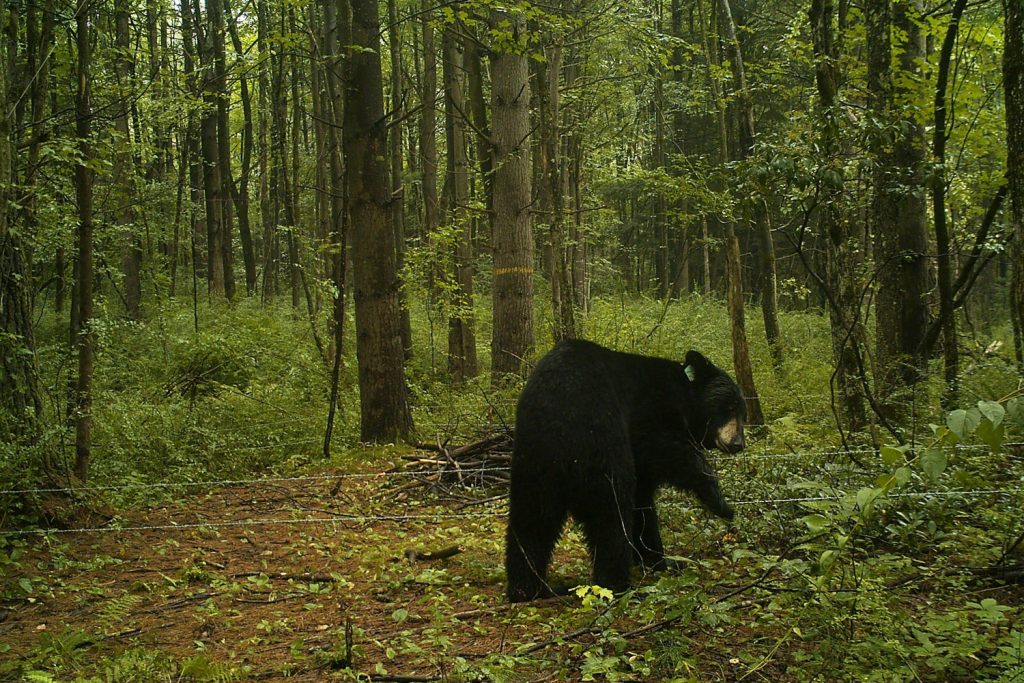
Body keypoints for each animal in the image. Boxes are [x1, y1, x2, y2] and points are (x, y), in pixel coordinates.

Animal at [505, 339, 741, 602]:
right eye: (730, 406)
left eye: (741, 410)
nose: (738, 442)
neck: (684, 397)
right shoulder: (650, 411)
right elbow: (667, 449)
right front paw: (721, 503)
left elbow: (644, 504)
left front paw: (660, 560)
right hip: (600, 447)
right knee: (611, 515)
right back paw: (616, 583)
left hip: (533, 464)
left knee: (532, 520)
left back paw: (528, 588)